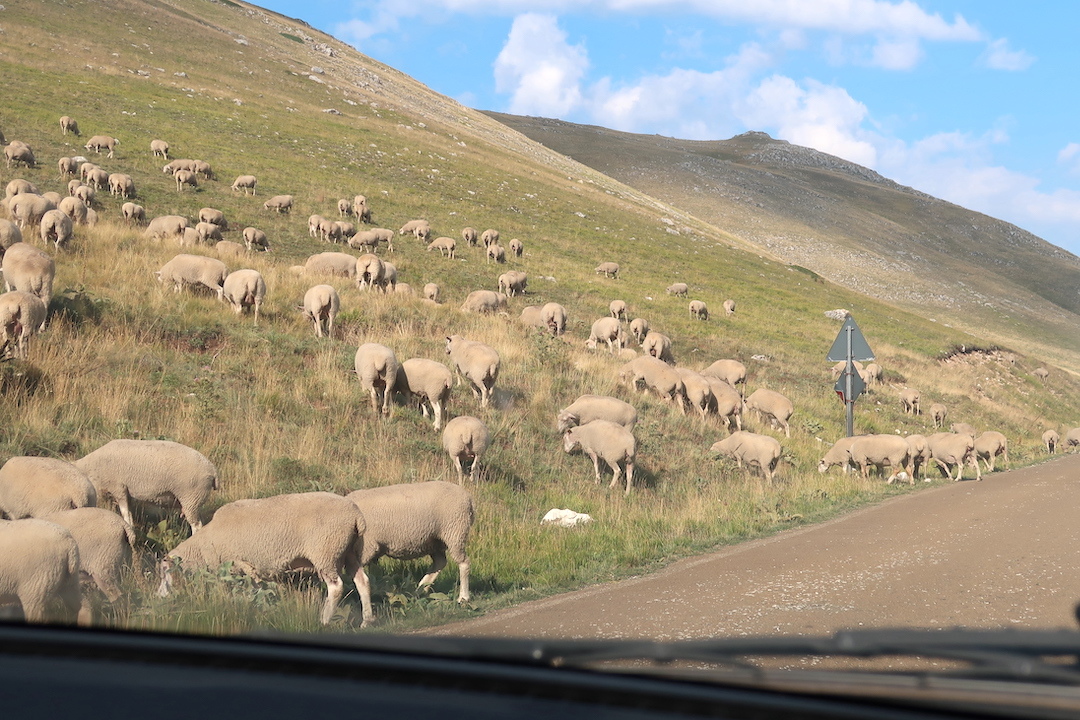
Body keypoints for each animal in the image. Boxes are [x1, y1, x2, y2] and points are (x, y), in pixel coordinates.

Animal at [75, 436, 218, 533]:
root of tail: (212, 470)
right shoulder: (123, 492)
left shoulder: (118, 488)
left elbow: (125, 514)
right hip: (194, 501)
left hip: (191, 497)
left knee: (197, 526)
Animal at [157, 492, 371, 626]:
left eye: (165, 573)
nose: (157, 597)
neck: (203, 546)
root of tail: (357, 516)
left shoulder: (239, 564)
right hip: (350, 552)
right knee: (363, 581)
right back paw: (367, 621)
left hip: (325, 552)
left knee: (336, 587)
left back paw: (324, 620)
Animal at [347, 483, 475, 608]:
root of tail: (469, 498)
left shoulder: (366, 548)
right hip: (435, 541)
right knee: (440, 562)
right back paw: (419, 591)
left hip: (455, 531)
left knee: (464, 563)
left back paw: (463, 598)